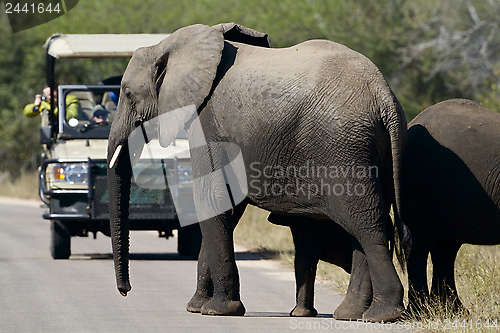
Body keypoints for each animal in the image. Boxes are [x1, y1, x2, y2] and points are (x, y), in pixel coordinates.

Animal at [107, 21, 408, 322]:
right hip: (373, 151)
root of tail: (384, 97)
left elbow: (210, 198)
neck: (169, 45)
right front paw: (197, 306)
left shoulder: (207, 121)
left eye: (128, 94)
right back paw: (350, 313)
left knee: (367, 225)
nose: (125, 291)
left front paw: (218, 311)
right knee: (368, 225)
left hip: (343, 149)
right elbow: (228, 204)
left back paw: (381, 314)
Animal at [400, 98, 500, 312]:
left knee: (445, 248)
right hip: (421, 183)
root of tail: (412, 123)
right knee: (418, 244)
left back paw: (453, 311)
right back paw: (420, 312)